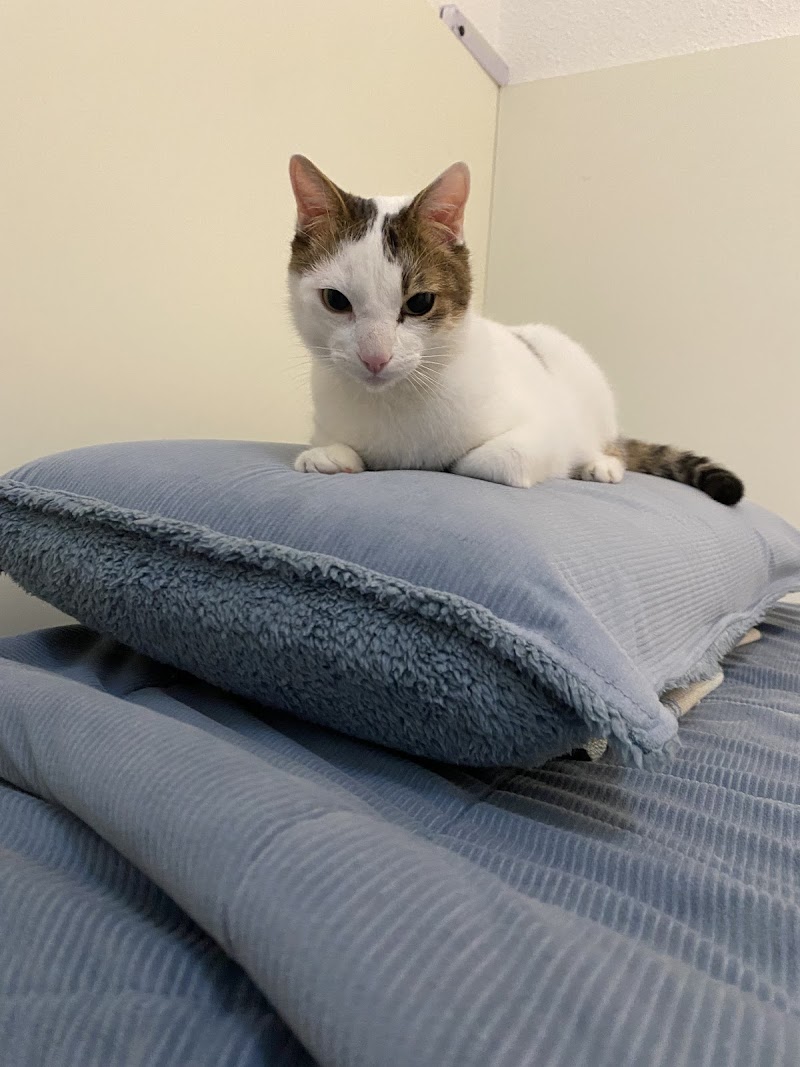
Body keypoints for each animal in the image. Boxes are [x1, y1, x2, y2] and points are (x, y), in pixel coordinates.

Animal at [287, 154, 743, 505]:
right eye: (336, 301)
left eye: (419, 303)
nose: (375, 357)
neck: (393, 402)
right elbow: (321, 451)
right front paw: (330, 456)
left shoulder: (546, 433)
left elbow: (487, 459)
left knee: (608, 442)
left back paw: (602, 462)